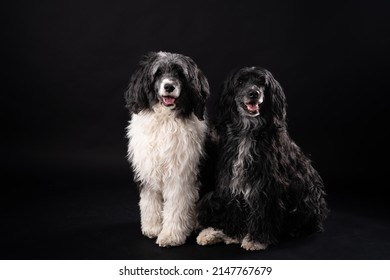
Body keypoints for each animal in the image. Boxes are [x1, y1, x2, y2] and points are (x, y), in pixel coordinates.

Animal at [125, 51, 210, 246]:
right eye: (158, 73)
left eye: (180, 73)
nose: (169, 86)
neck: (165, 121)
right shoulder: (148, 171)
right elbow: (150, 202)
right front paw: (153, 228)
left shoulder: (181, 176)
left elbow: (176, 207)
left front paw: (171, 235)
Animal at [197, 66, 328, 250]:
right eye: (240, 82)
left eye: (262, 82)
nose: (254, 93)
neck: (248, 132)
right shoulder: (231, 180)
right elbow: (234, 207)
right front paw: (234, 234)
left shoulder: (266, 183)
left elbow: (263, 210)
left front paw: (257, 239)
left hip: (307, 194)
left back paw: (297, 230)